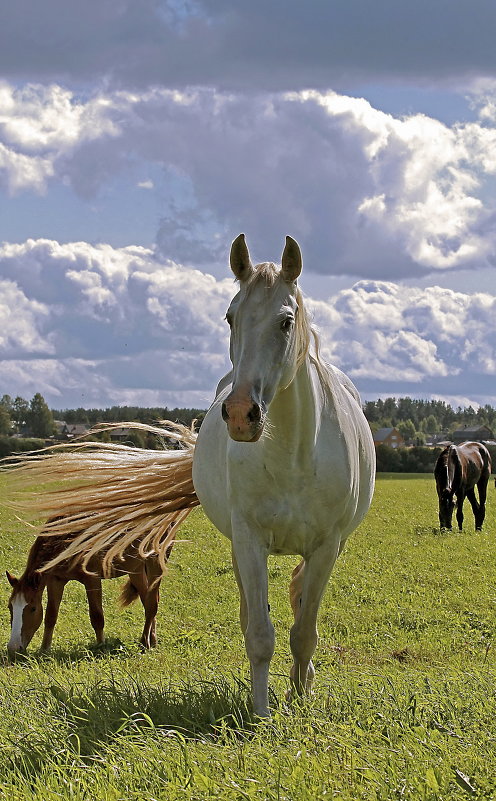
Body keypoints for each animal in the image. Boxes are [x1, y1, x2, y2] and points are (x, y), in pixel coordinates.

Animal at [5, 524, 172, 656]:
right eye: (10, 607)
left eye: (32, 608)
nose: (13, 648)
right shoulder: (55, 580)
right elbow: (50, 616)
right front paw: (44, 649)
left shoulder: (92, 579)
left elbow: (97, 617)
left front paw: (101, 647)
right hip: (135, 568)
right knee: (146, 600)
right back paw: (152, 639)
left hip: (155, 563)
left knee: (152, 603)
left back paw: (145, 643)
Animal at [192, 234, 374, 716]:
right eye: (230, 316)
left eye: (286, 321)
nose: (241, 414)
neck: (292, 454)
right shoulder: (249, 539)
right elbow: (260, 633)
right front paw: (261, 713)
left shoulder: (327, 546)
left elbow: (304, 632)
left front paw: (302, 698)